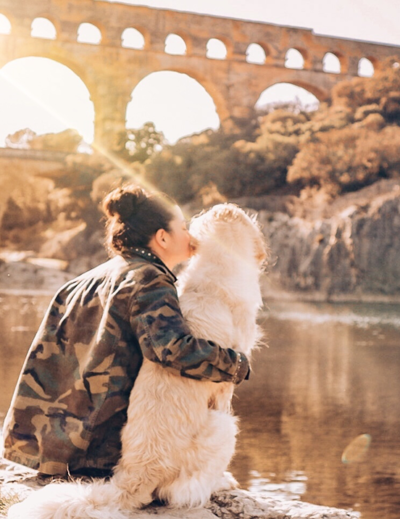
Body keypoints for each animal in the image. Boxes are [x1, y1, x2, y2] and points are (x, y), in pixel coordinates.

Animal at [7, 203, 268, 519]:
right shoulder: (226, 384)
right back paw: (221, 482)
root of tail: (136, 475)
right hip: (226, 427)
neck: (218, 266)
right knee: (182, 493)